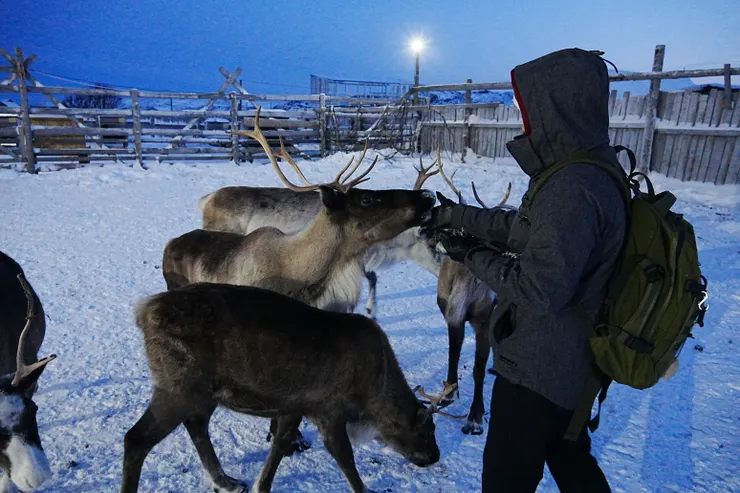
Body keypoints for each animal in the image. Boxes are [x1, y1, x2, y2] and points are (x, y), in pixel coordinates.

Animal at [121, 281, 465, 493]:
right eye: (427, 430)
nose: (435, 456)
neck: (372, 394)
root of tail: (143, 312)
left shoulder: (294, 408)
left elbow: (279, 447)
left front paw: (260, 485)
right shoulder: (330, 412)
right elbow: (346, 461)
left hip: (202, 393)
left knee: (196, 425)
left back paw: (226, 481)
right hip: (178, 387)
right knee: (136, 439)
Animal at [421, 151, 512, 436]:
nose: (422, 231)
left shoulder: (483, 322)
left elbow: (478, 369)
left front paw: (476, 416)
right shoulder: (454, 315)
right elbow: (454, 354)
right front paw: (451, 392)